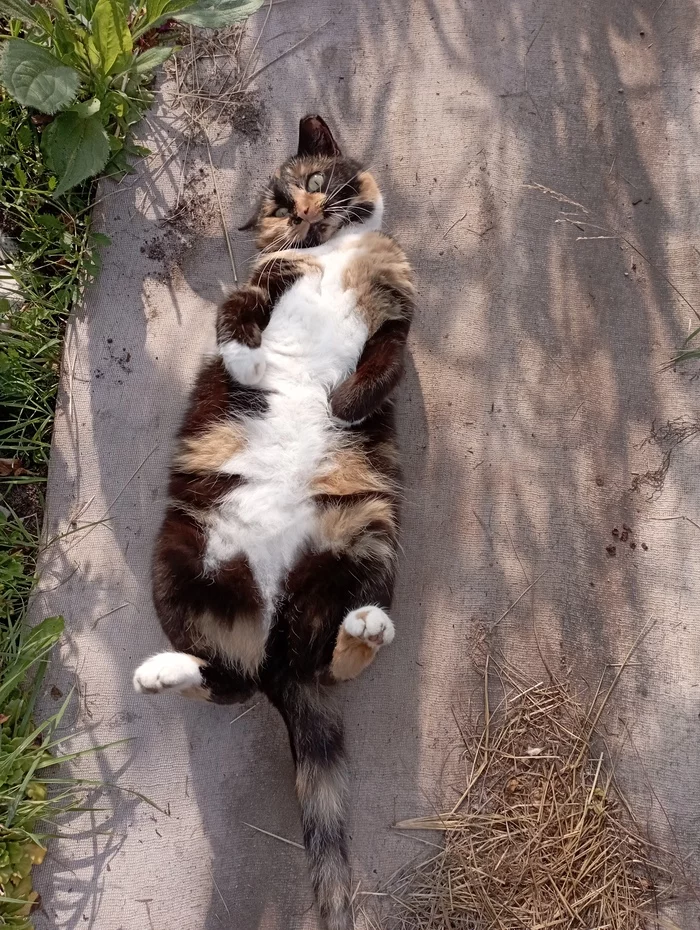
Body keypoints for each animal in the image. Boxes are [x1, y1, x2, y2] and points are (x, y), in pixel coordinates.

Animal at [134, 116, 412, 928]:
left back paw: (363, 629)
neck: (331, 256)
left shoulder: (400, 307)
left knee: (315, 664)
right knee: (233, 683)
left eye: (313, 183)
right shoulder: (261, 283)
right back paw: (160, 674)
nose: (307, 214)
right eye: (280, 212)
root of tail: (274, 620)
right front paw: (254, 369)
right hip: (178, 555)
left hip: (368, 534)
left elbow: (384, 363)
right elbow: (234, 321)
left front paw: (343, 404)